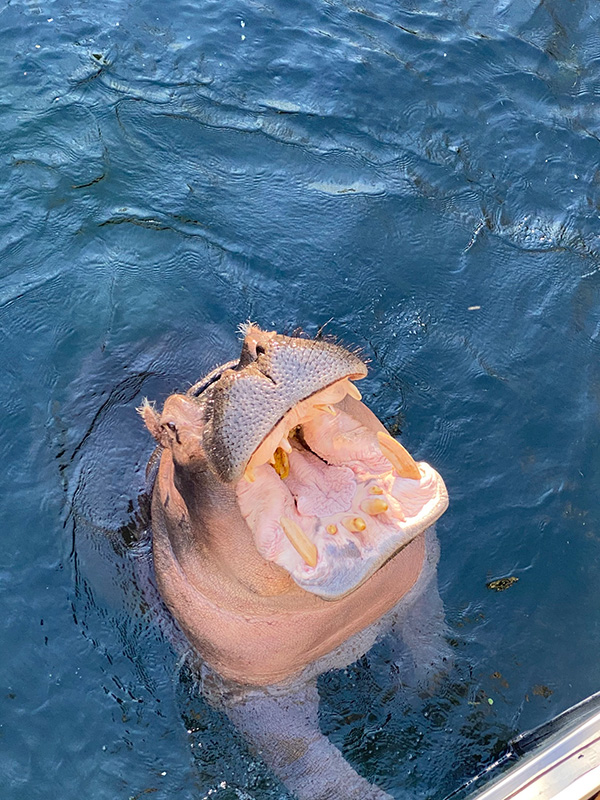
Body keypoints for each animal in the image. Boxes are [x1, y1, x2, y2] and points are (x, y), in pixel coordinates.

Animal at [139, 324, 449, 800]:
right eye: (170, 426)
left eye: (260, 330)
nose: (247, 362)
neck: (349, 617)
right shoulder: (251, 695)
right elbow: (307, 762)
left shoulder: (418, 581)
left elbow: (429, 639)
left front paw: (421, 689)